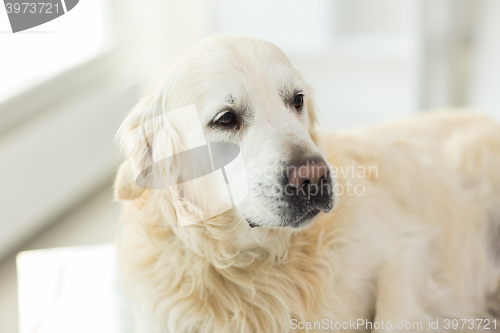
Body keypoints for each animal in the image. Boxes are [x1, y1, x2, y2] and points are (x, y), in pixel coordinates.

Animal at [113, 35, 500, 330]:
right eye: (225, 119)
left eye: (296, 100)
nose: (314, 178)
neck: (258, 264)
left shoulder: (409, 244)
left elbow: (392, 318)